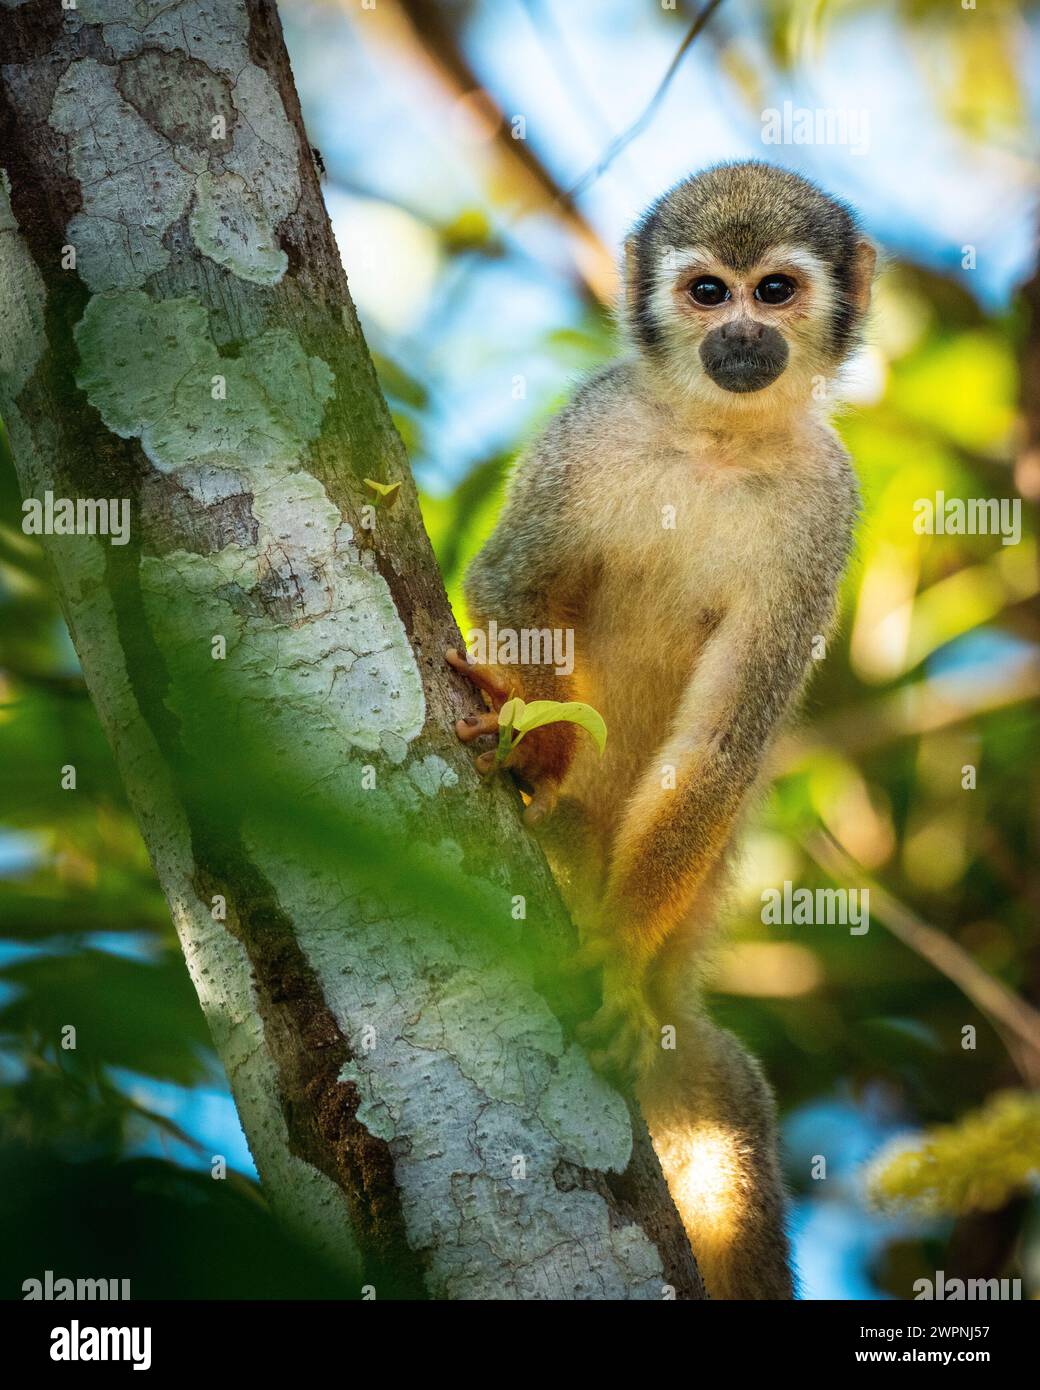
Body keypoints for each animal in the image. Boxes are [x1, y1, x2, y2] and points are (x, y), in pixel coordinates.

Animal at [444, 165, 867, 1301]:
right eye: (706, 291)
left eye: (774, 290)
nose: (741, 336)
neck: (715, 440)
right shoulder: (588, 431)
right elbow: (514, 584)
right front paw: (539, 750)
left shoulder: (827, 509)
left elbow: (721, 745)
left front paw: (616, 962)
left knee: (724, 1102)